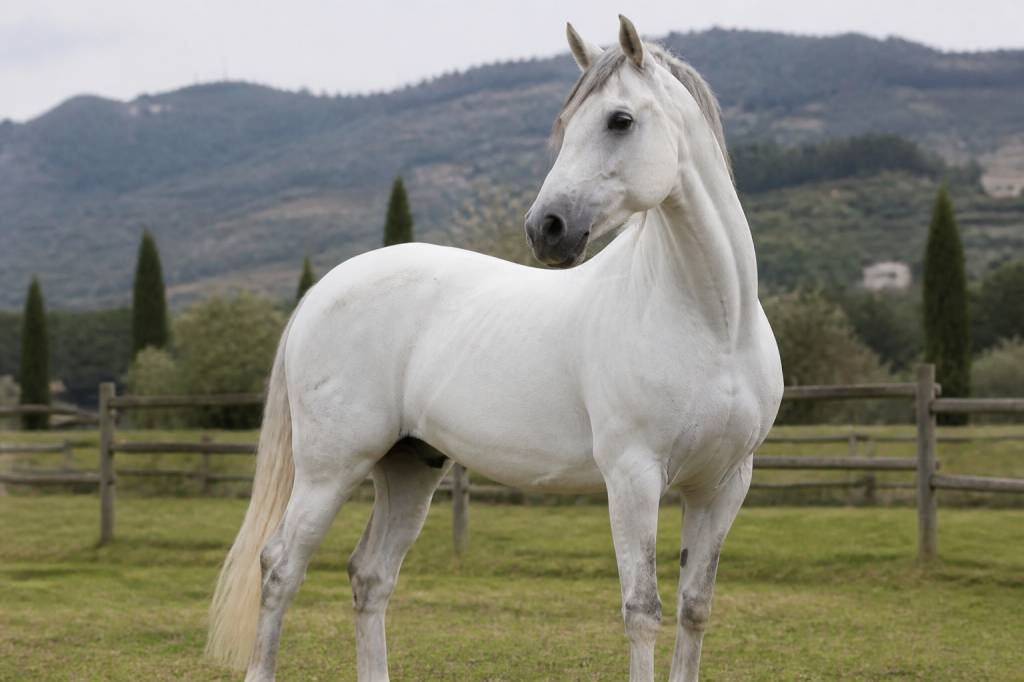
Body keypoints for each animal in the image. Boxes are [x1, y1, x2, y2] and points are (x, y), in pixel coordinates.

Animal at [207, 15, 783, 682]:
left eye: (619, 120)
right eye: (566, 125)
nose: (546, 228)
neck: (713, 323)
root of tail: (320, 293)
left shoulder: (723, 484)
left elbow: (694, 608)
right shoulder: (633, 476)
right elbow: (643, 610)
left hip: (410, 465)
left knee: (370, 576)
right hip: (330, 469)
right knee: (279, 568)